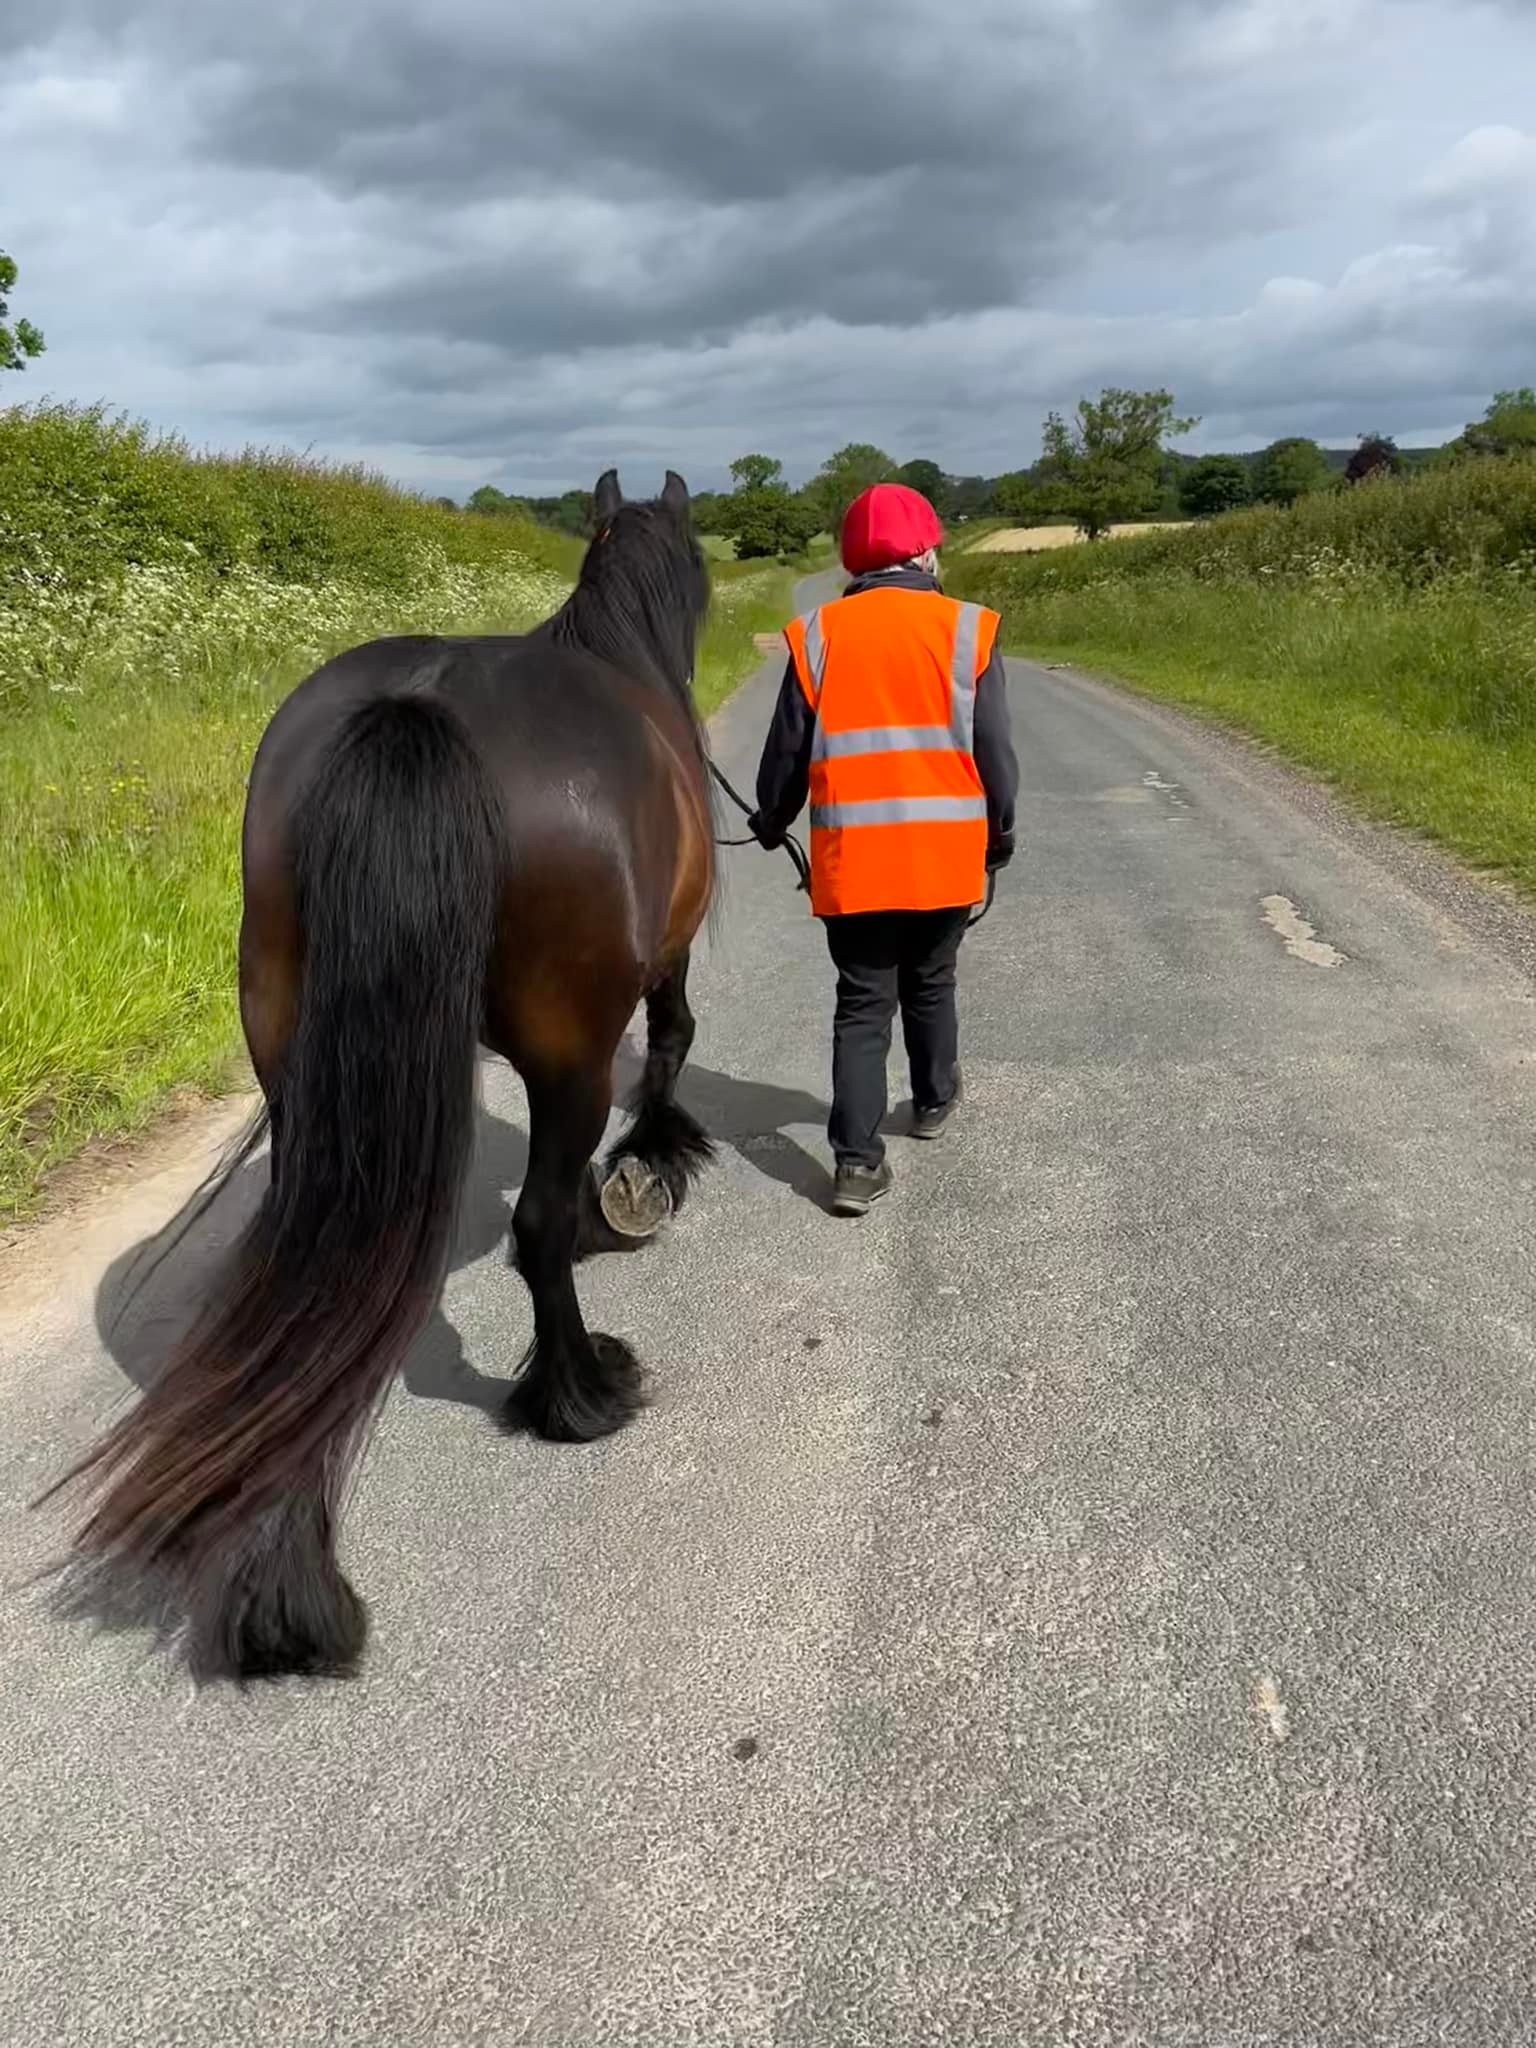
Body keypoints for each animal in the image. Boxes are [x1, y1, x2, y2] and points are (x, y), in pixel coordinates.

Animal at [46, 471, 720, 1687]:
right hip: (568, 1054)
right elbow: (674, 1045)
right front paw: (646, 1174)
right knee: (539, 1225)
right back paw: (578, 1392)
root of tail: (421, 706)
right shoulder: (670, 961)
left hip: (290, 1057)